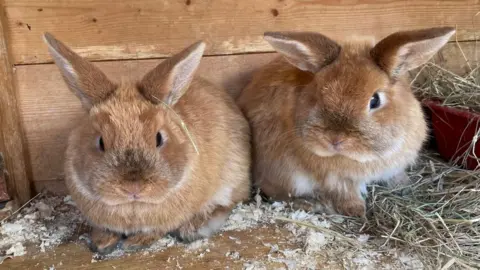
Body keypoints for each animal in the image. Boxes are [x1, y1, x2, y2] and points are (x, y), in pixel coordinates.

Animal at [44, 32, 251, 254]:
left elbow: (156, 230)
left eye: (159, 138)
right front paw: (101, 242)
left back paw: (194, 228)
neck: (132, 207)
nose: (132, 188)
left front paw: (135, 243)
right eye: (101, 142)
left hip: (232, 177)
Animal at [238, 27, 456, 217]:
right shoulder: (334, 178)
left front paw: (404, 185)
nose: (335, 139)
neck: (364, 157)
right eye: (317, 94)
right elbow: (345, 193)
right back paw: (312, 204)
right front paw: (357, 210)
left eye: (375, 100)